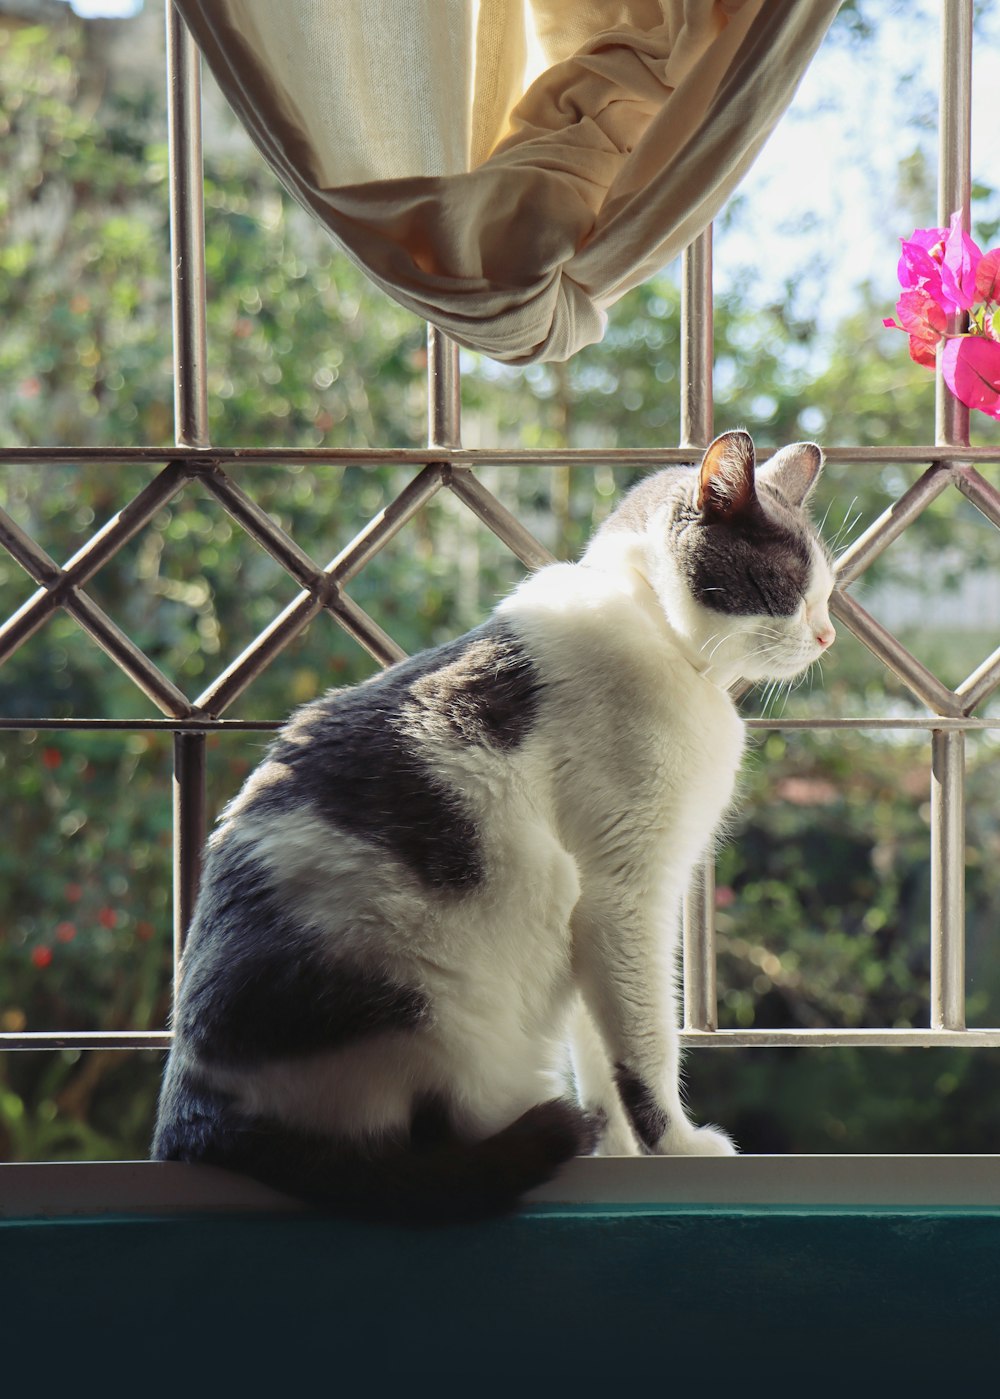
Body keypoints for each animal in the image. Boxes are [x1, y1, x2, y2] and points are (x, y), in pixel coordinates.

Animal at [150, 428, 839, 1225]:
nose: (828, 633)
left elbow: (600, 1057)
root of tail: (193, 1122)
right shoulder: (626, 893)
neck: (654, 629)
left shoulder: (593, 925)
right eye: (792, 584)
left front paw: (620, 1156)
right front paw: (678, 1149)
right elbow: (644, 1047)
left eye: (829, 589)